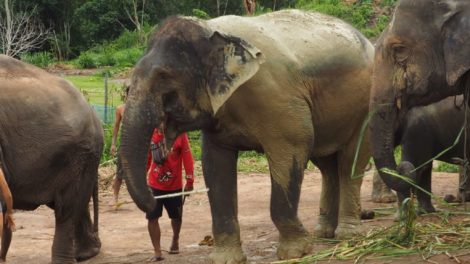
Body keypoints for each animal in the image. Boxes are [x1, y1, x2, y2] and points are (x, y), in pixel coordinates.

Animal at [120, 9, 374, 262]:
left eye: (164, 76)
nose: (155, 199)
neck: (210, 30)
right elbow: (215, 166)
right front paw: (225, 258)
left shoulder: (278, 100)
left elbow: (294, 146)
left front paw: (295, 252)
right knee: (327, 166)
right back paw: (324, 233)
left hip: (367, 106)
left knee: (349, 163)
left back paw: (347, 235)